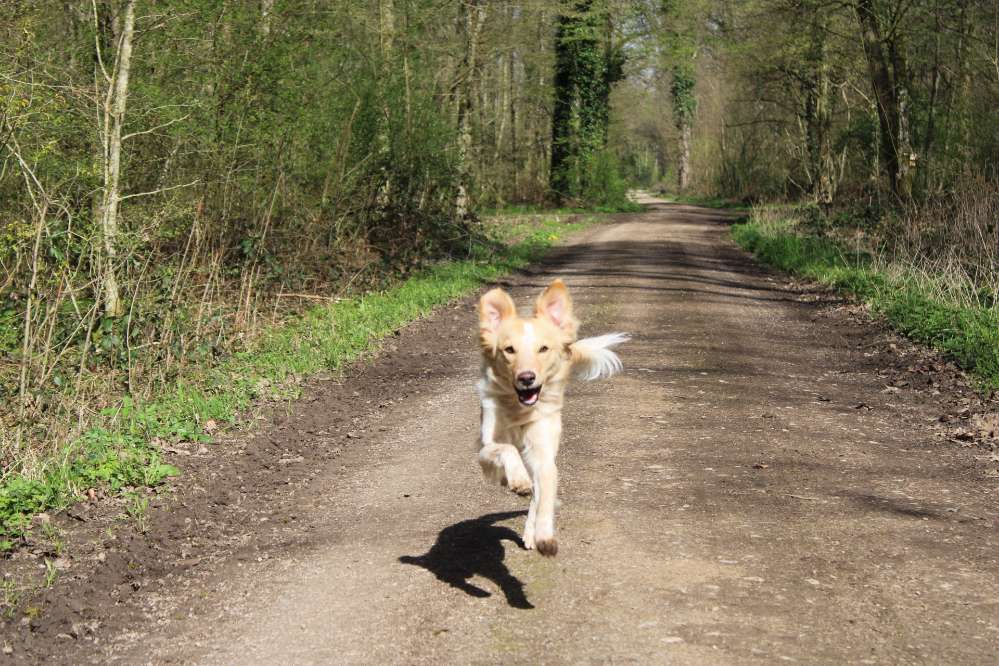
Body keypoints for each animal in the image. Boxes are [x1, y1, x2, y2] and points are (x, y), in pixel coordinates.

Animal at [476, 278, 624, 552]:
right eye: (509, 350)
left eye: (543, 349)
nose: (526, 377)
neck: (519, 410)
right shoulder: (485, 448)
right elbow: (506, 449)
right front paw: (518, 479)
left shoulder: (544, 456)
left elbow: (542, 498)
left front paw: (543, 535)